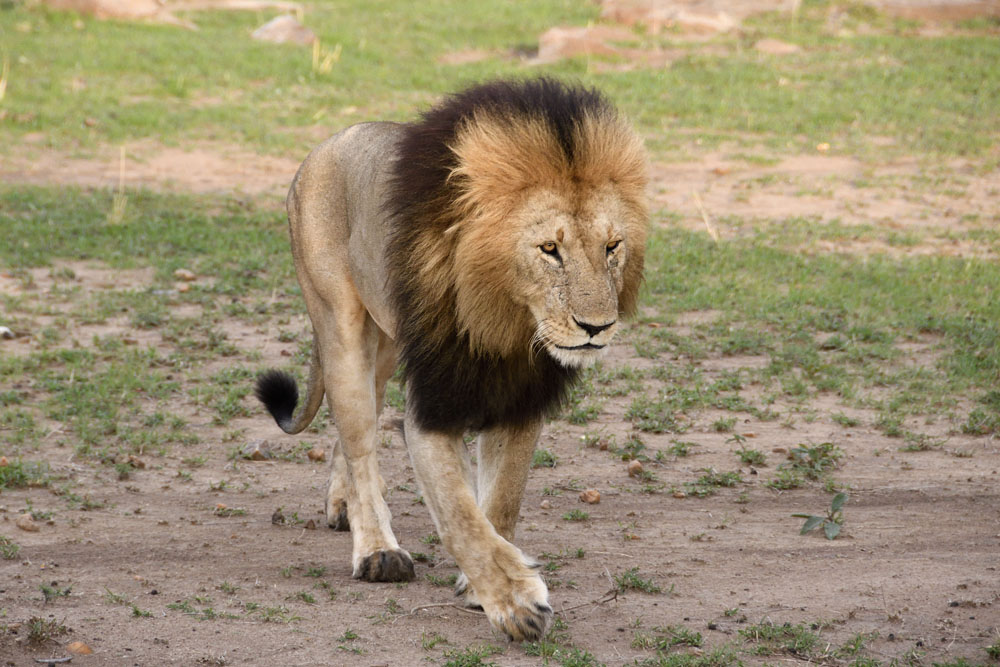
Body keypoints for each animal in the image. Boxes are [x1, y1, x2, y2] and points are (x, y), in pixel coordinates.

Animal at [255, 78, 648, 641]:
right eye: (550, 249)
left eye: (612, 246)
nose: (597, 327)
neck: (505, 324)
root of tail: (327, 143)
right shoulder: (431, 410)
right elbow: (461, 516)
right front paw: (516, 602)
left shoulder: (519, 405)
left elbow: (499, 502)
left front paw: (482, 584)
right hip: (340, 326)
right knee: (359, 439)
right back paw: (376, 550)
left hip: (385, 346)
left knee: (355, 435)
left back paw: (341, 505)